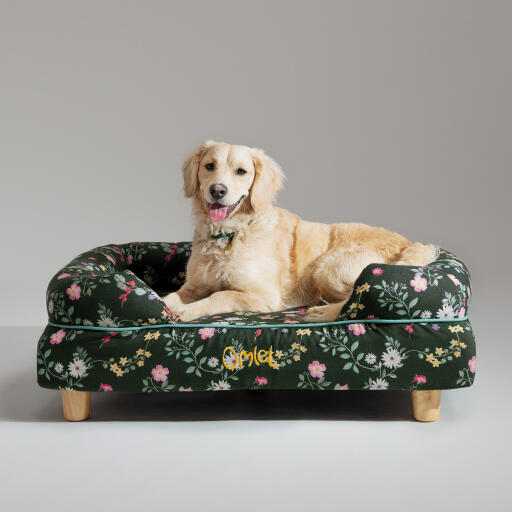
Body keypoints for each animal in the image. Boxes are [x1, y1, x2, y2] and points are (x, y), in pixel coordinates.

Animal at [164, 140, 436, 322]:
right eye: (209, 166)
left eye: (241, 171)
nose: (217, 190)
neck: (229, 234)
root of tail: (409, 243)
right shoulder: (194, 286)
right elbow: (169, 297)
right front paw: (163, 308)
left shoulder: (262, 295)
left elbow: (219, 296)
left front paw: (186, 311)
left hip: (328, 267)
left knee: (355, 299)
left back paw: (321, 311)